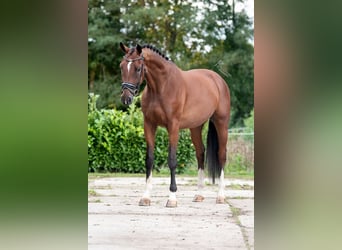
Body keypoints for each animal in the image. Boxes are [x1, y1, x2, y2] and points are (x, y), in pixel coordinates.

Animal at [119, 42, 230, 207]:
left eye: (138, 68)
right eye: (121, 67)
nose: (126, 98)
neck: (162, 87)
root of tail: (218, 79)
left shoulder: (173, 126)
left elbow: (172, 160)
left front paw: (172, 197)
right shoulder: (149, 125)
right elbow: (149, 159)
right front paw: (146, 197)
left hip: (221, 122)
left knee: (221, 155)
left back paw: (221, 196)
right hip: (195, 127)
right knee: (200, 153)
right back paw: (199, 194)